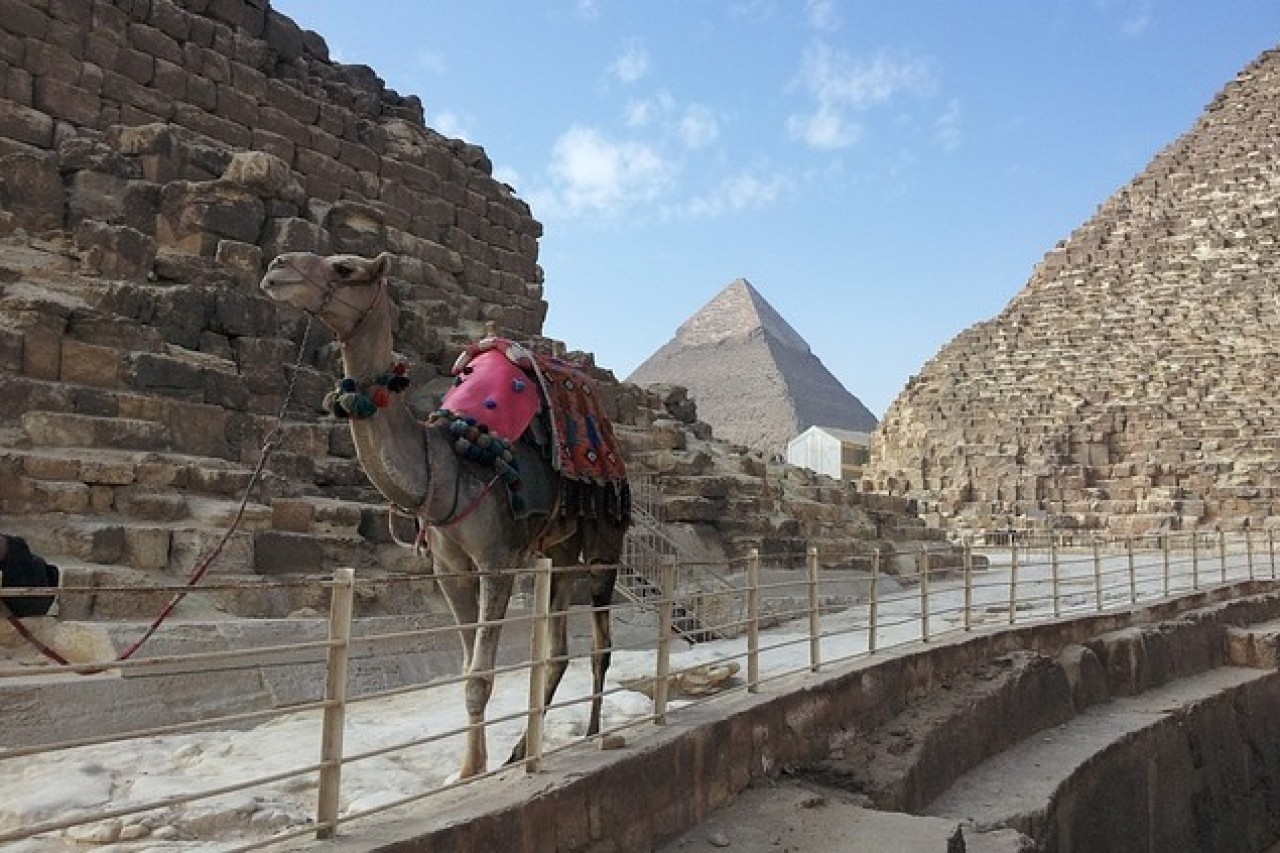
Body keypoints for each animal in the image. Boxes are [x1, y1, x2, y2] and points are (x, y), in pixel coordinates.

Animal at [259, 251, 630, 778]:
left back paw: (595, 732)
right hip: (559, 548)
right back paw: (524, 749)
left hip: (605, 536)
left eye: (345, 267)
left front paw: (470, 769)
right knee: (557, 651)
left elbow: (481, 673)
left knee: (600, 642)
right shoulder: (449, 567)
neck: (445, 467)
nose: (277, 267)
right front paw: (473, 765)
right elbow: (466, 669)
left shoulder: (496, 559)